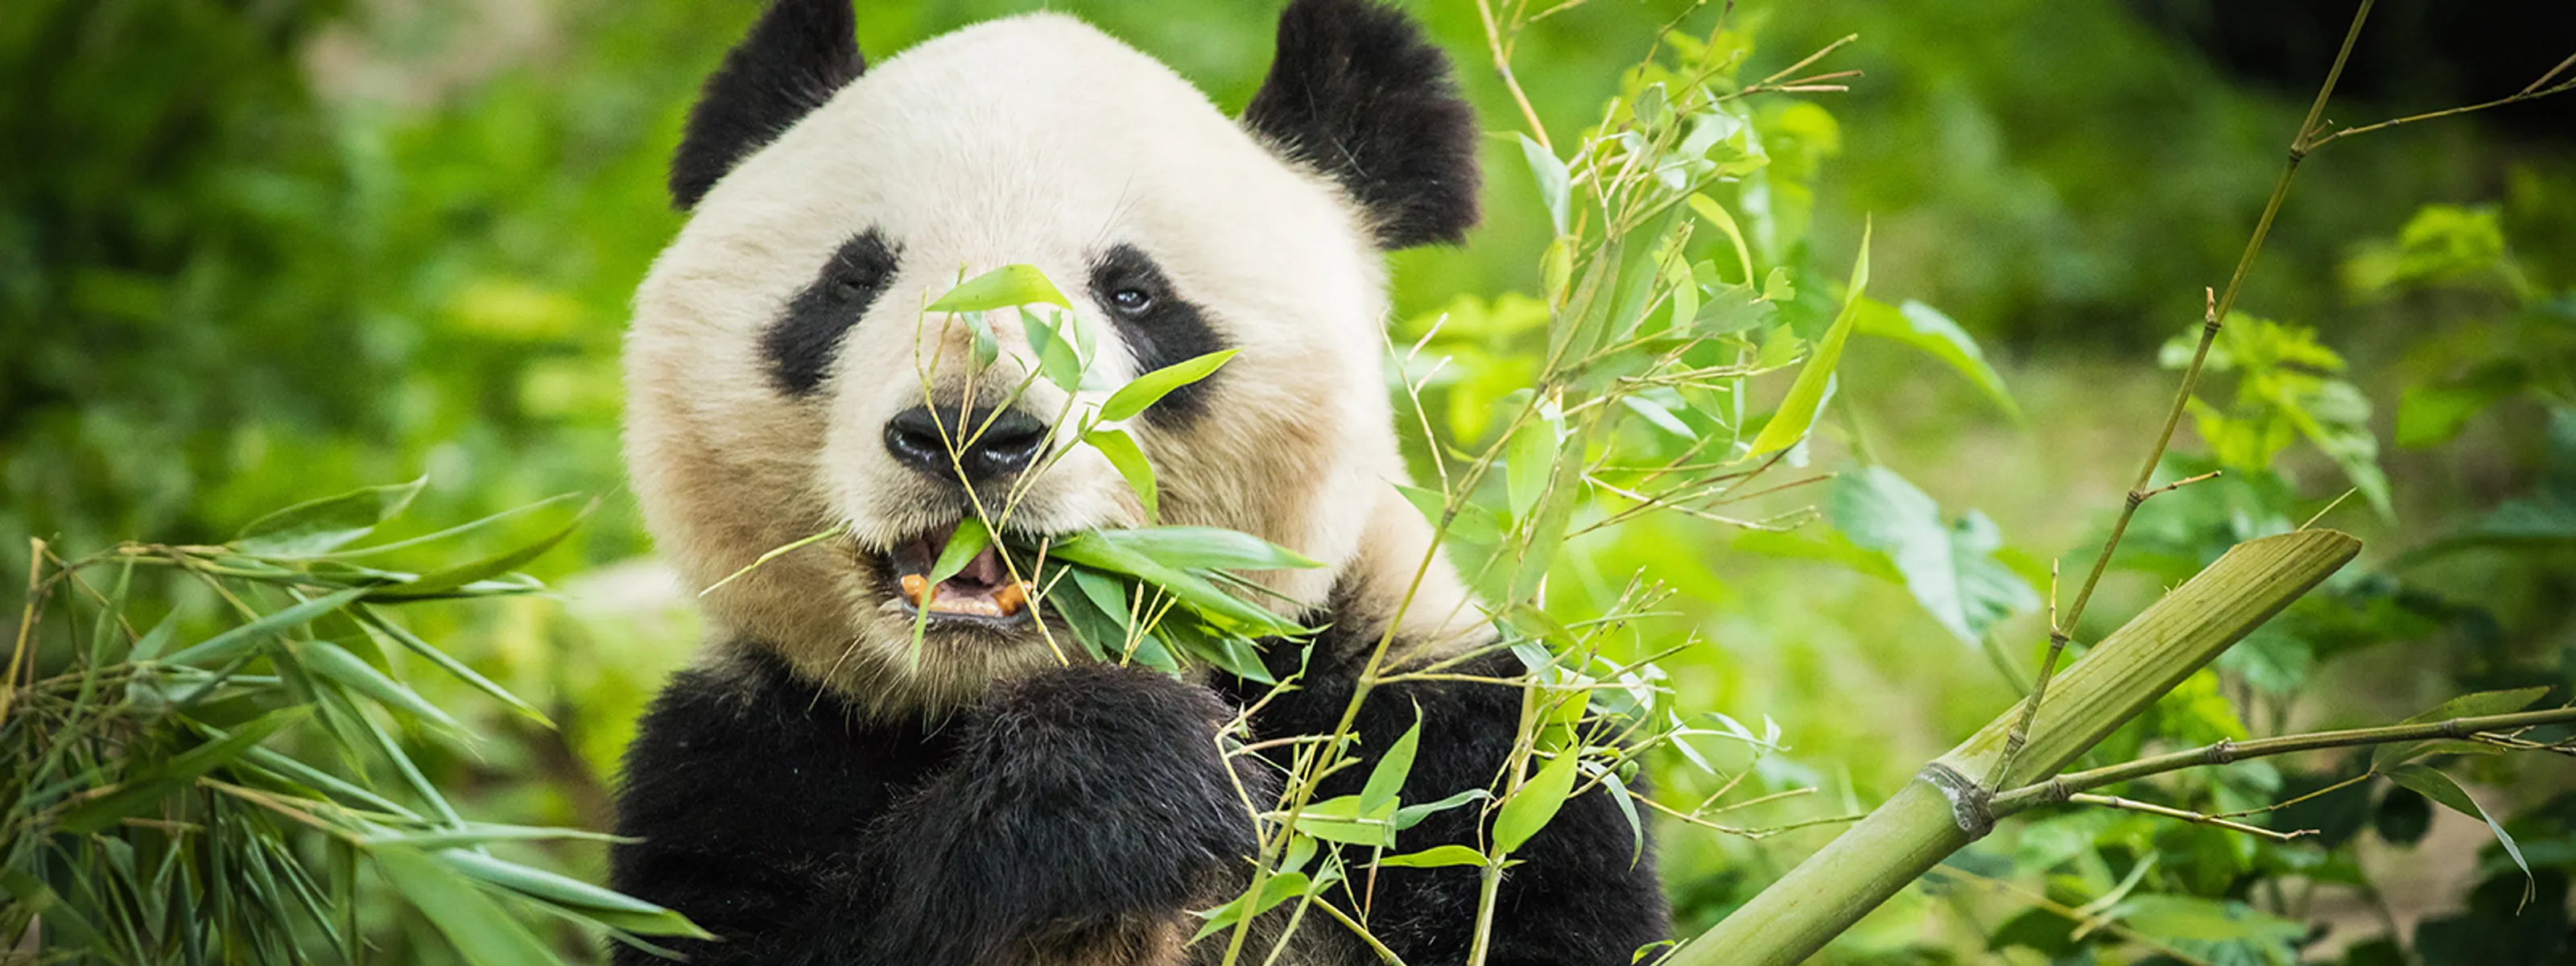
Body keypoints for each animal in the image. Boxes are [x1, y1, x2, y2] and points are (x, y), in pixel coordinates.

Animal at [609, 0, 1671, 963]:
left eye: (1132, 293)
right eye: (851, 281)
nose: (969, 430)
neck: (991, 684)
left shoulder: (1445, 736)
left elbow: (1512, 870)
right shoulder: (740, 759)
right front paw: (1107, 775)